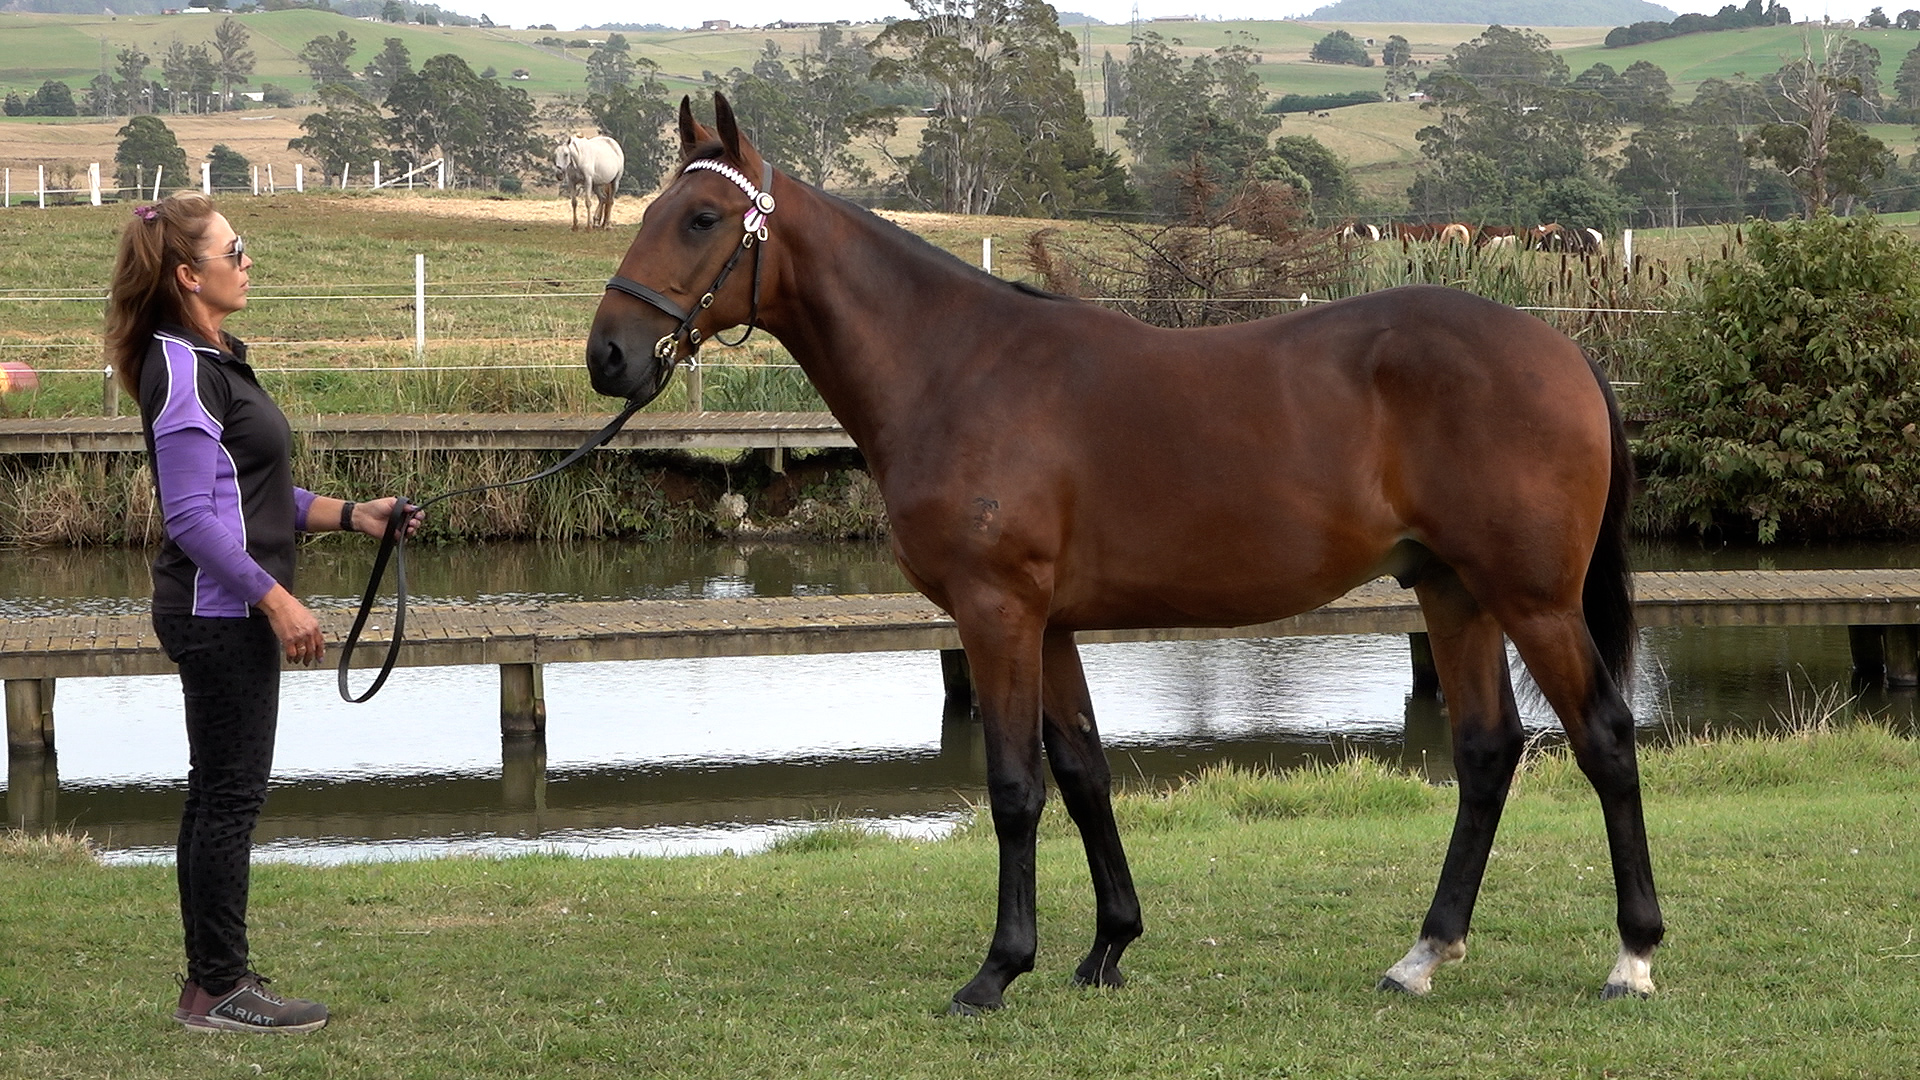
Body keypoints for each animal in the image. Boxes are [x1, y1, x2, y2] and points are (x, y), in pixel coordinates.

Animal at [586, 93, 1661, 1015]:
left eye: (702, 218)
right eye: (655, 208)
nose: (609, 356)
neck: (955, 367)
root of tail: (1563, 350)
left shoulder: (997, 613)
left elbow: (1014, 787)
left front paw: (997, 970)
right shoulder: (1050, 624)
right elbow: (1084, 773)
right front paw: (1108, 946)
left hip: (1532, 600)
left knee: (1605, 738)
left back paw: (1633, 957)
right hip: (1452, 592)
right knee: (1486, 753)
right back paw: (1422, 956)